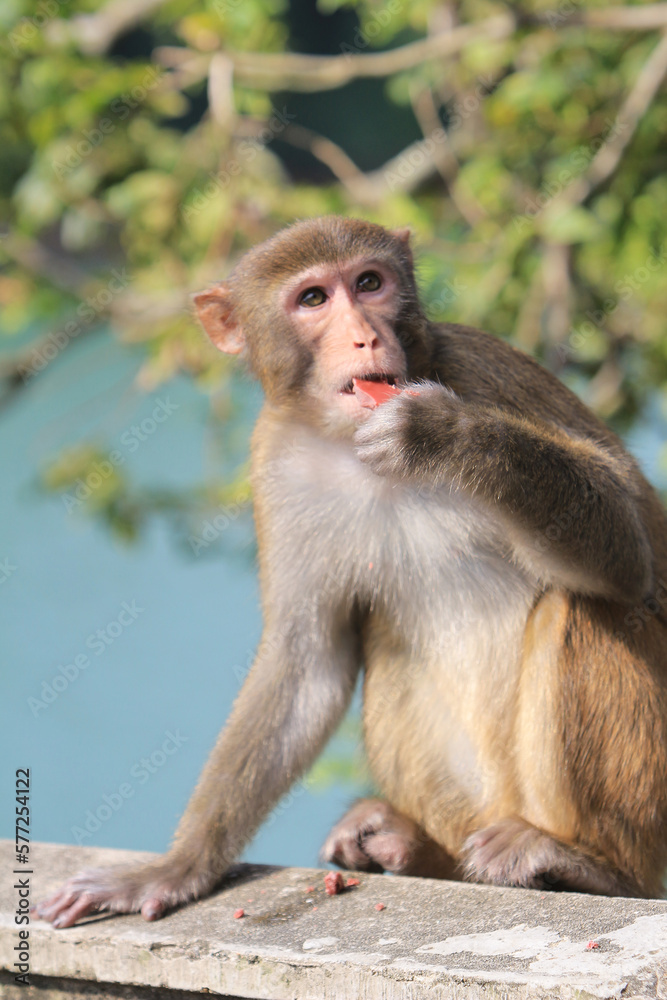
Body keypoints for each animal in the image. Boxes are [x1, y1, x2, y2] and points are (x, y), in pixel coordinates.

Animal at [35, 215, 667, 924]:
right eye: (313, 299)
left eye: (369, 283)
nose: (365, 334)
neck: (349, 439)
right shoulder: (276, 456)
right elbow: (307, 663)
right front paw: (174, 869)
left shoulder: (481, 367)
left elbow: (630, 549)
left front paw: (443, 434)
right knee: (393, 643)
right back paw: (408, 847)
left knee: (577, 606)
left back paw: (589, 867)